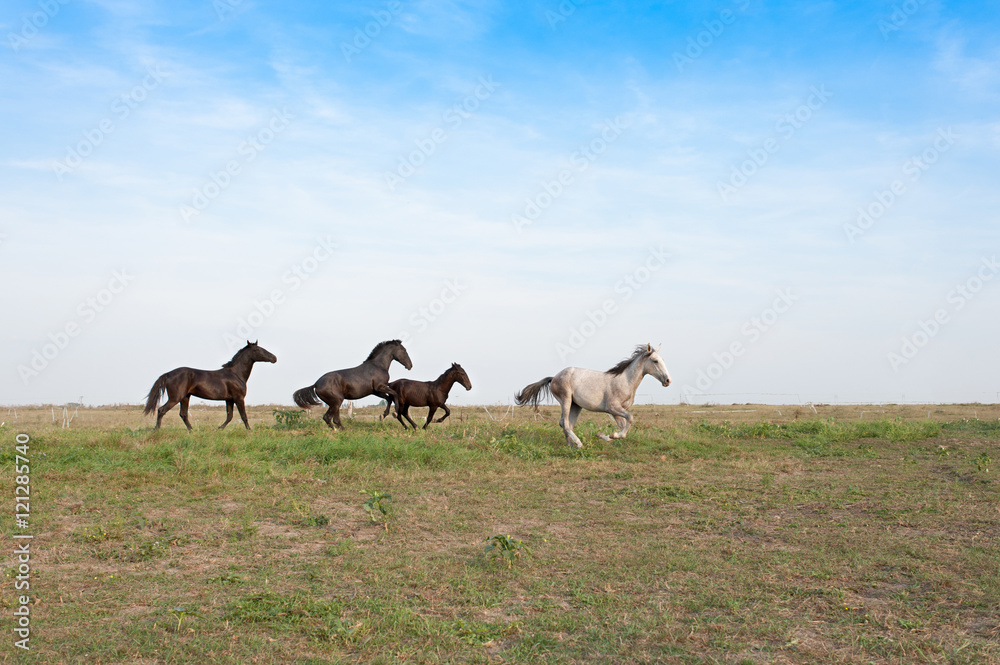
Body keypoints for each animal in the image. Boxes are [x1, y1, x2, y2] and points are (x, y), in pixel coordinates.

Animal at [143, 341, 277, 430]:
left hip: (185, 397)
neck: (236, 374)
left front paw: (219, 429)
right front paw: (249, 431)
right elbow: (243, 416)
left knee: (183, 414)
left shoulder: (229, 399)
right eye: (257, 350)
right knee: (161, 410)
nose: (274, 358)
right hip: (175, 398)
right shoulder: (239, 398)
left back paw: (192, 431)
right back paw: (157, 430)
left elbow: (229, 416)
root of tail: (168, 374)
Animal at [514, 343, 671, 448]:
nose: (668, 380)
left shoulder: (616, 412)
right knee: (565, 424)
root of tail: (554, 378)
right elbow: (630, 419)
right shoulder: (613, 408)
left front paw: (604, 435)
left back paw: (571, 446)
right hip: (566, 400)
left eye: (663, 360)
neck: (625, 381)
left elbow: (623, 428)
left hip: (576, 405)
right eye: (655, 361)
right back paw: (579, 444)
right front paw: (608, 435)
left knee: (567, 424)